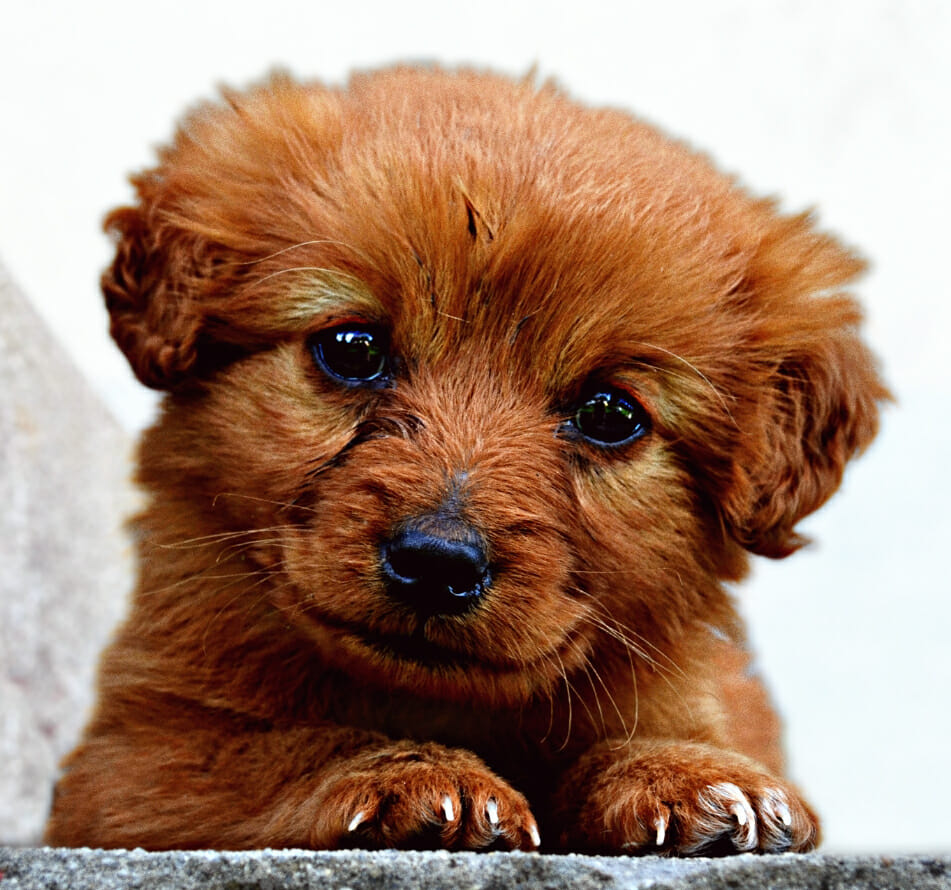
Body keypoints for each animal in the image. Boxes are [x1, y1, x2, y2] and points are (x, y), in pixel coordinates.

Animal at [44, 66, 888, 848]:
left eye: (610, 415)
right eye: (353, 349)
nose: (436, 562)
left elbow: (656, 736)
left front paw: (688, 775)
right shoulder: (126, 764)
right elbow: (278, 749)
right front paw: (414, 776)